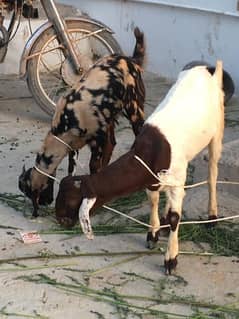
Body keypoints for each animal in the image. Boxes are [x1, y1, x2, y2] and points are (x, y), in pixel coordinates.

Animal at [18, 26, 146, 218]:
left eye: (32, 193)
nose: (43, 203)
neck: (66, 122)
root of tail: (130, 60)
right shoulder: (74, 146)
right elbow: (71, 169)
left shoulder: (96, 141)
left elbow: (93, 166)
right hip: (109, 118)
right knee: (112, 144)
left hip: (134, 110)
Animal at [55, 60, 224, 276]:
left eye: (70, 200)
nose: (59, 219)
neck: (153, 149)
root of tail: (206, 69)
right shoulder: (153, 179)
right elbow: (153, 201)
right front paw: (153, 233)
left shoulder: (177, 180)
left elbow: (176, 217)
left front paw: (171, 259)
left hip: (216, 132)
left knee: (212, 174)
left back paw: (212, 217)